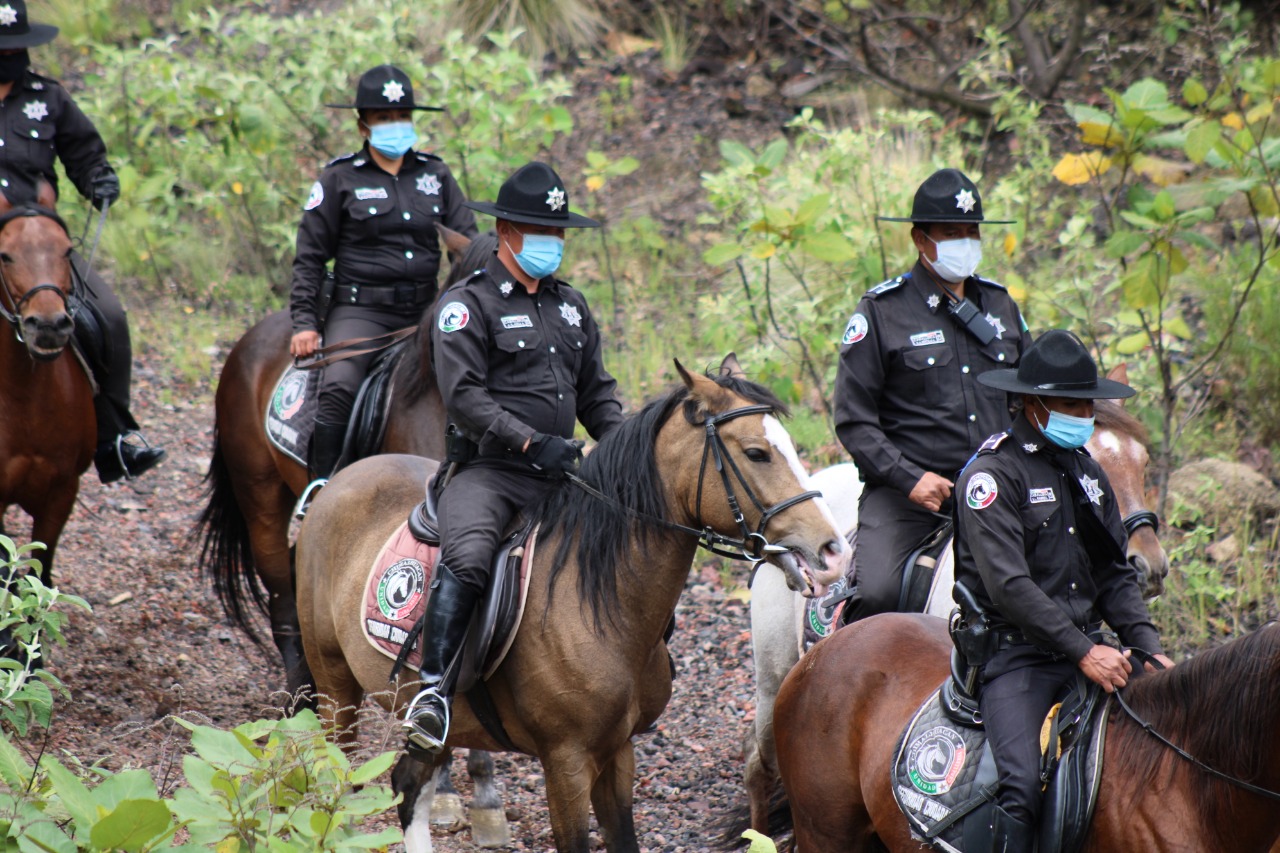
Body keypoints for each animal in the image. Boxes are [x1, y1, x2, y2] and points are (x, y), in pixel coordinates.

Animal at [295, 356, 855, 845]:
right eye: (757, 453)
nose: (833, 551)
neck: (595, 603)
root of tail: (342, 478)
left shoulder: (618, 751)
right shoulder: (565, 761)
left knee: (410, 786)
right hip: (336, 687)